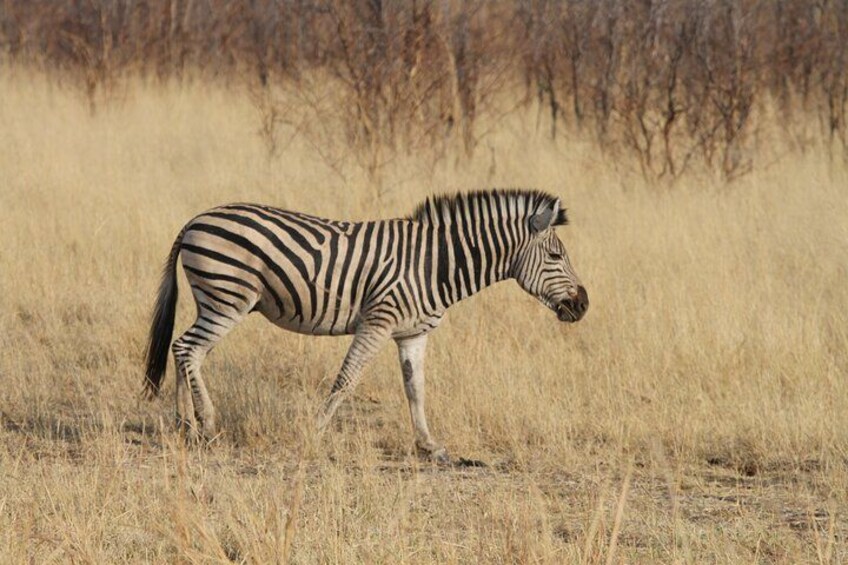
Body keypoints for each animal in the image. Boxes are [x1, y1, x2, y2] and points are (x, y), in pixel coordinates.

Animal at [144, 189, 588, 461]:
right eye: (555, 256)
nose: (582, 305)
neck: (437, 265)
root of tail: (195, 219)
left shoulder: (413, 333)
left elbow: (415, 389)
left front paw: (429, 445)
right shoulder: (377, 321)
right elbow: (347, 379)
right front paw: (314, 432)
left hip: (215, 299)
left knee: (185, 350)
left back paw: (186, 425)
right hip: (227, 297)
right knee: (187, 348)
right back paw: (207, 424)